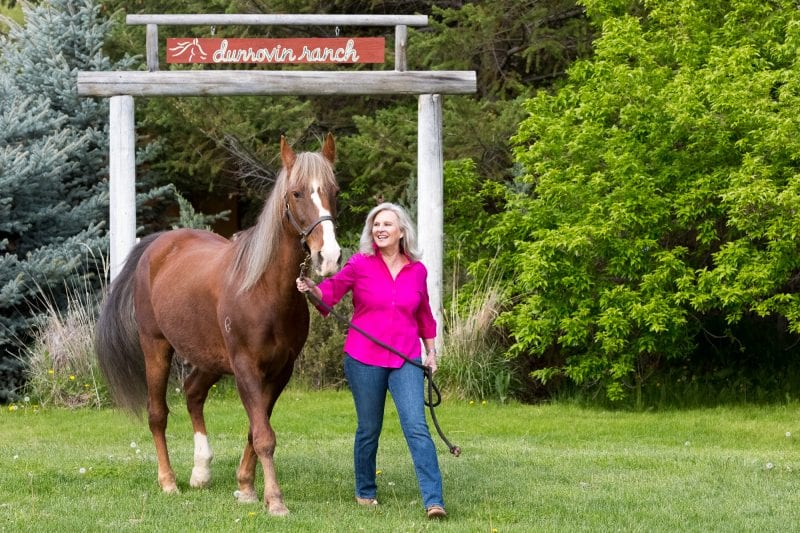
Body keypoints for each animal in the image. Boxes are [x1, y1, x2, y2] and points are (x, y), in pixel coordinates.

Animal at [94, 134, 340, 516]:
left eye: (334, 190)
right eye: (297, 192)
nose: (328, 257)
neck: (263, 290)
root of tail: (158, 244)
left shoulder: (279, 371)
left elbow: (256, 429)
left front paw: (247, 488)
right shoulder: (245, 368)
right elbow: (264, 435)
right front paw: (275, 500)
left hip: (209, 358)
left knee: (193, 393)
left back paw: (201, 471)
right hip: (156, 347)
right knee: (157, 414)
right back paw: (168, 481)